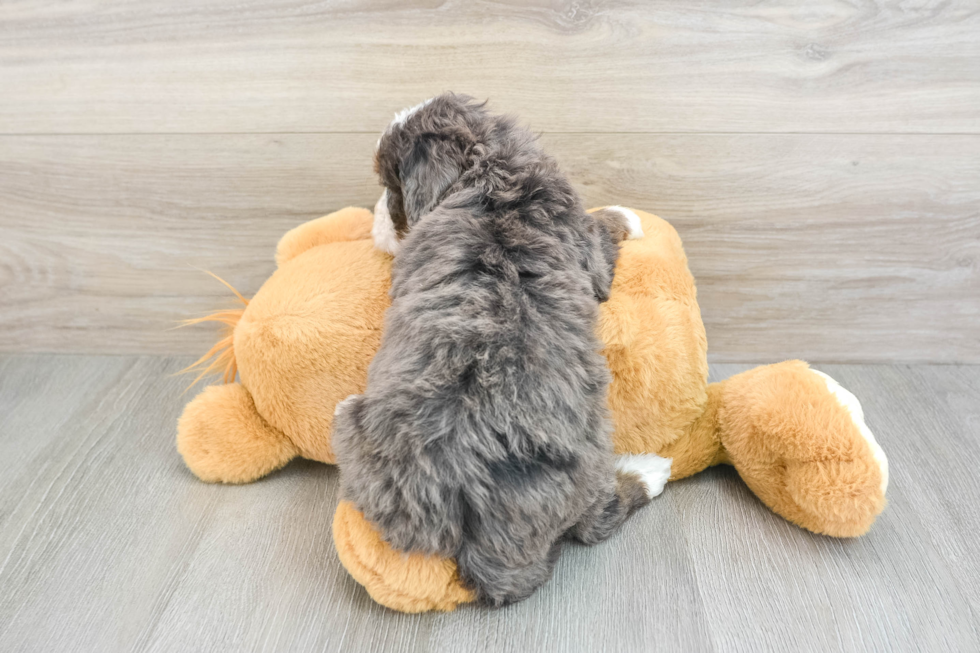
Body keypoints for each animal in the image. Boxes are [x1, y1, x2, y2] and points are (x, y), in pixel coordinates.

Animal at [334, 93, 668, 608]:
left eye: (391, 188)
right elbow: (601, 225)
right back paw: (649, 470)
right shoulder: (589, 249)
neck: (492, 168)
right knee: (600, 519)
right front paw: (627, 215)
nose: (374, 225)